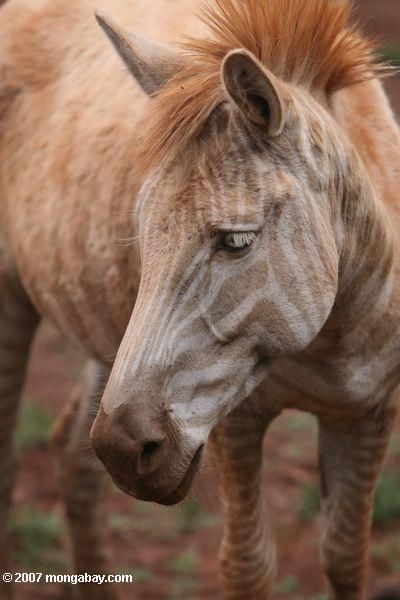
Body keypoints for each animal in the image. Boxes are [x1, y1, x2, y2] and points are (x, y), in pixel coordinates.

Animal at [0, 0, 400, 596]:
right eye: (142, 232)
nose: (123, 451)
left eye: (236, 241)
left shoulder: (369, 411)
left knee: (73, 456)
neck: (336, 340)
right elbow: (248, 565)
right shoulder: (235, 418)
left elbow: (348, 559)